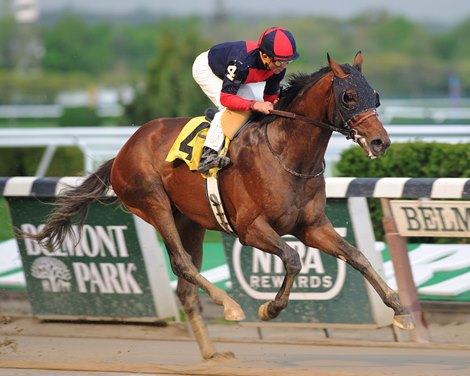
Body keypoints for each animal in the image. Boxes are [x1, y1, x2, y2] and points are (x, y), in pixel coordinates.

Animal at [27, 52, 414, 358]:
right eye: (348, 96)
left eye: (375, 95)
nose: (380, 142)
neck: (288, 154)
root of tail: (122, 151)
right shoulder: (250, 229)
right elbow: (292, 259)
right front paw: (269, 309)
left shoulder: (312, 226)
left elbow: (357, 256)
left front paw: (400, 309)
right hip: (153, 204)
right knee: (182, 265)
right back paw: (229, 305)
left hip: (190, 222)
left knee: (185, 287)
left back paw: (212, 353)